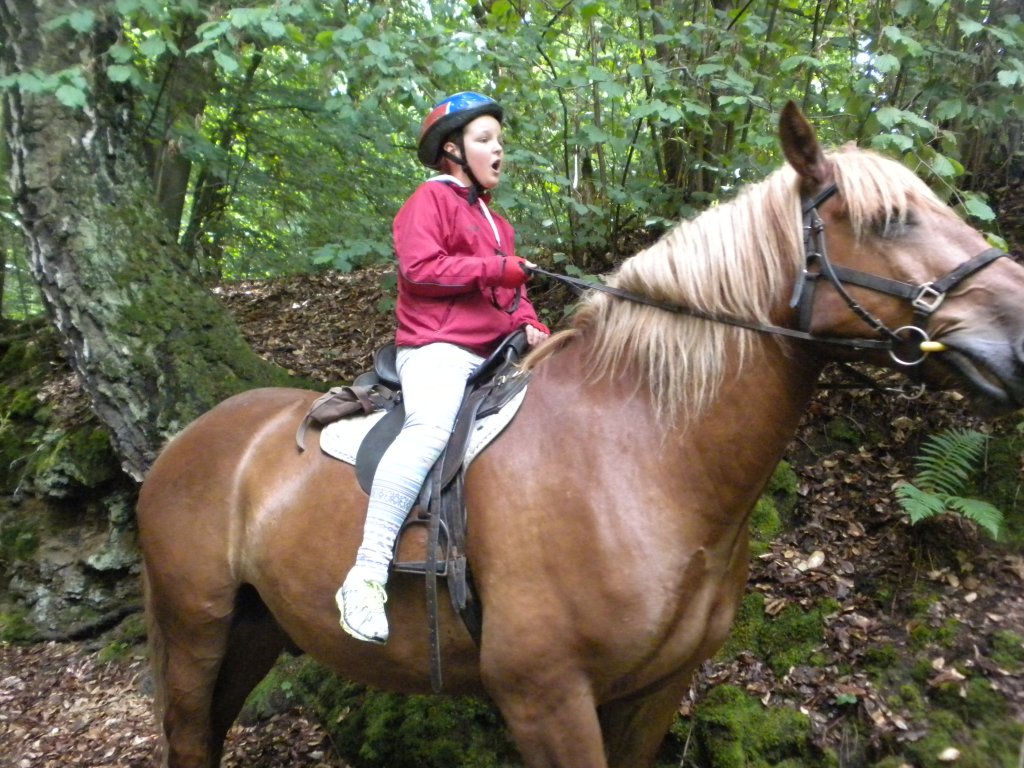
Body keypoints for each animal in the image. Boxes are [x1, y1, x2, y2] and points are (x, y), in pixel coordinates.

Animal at [137, 102, 1024, 768]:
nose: (1019, 333)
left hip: (254, 629)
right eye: (892, 220)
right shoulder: (547, 698)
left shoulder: (653, 693)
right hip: (194, 627)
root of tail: (183, 444)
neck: (642, 458)